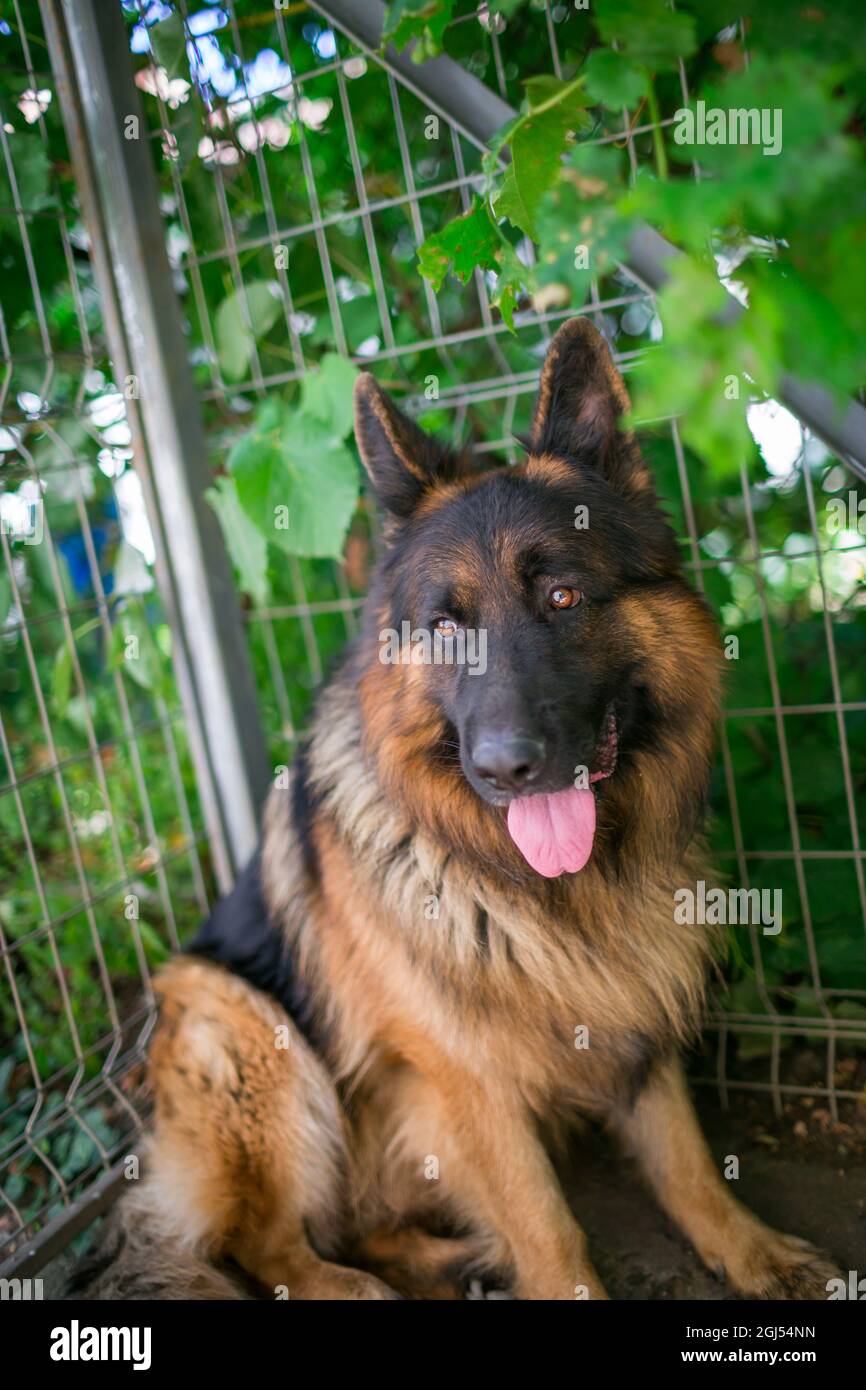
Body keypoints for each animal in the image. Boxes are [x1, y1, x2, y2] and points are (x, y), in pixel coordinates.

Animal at [81, 319, 839, 1295]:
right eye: (445, 627)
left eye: (563, 595)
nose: (508, 767)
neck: (549, 887)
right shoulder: (461, 1079)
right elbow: (548, 1228)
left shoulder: (633, 998)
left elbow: (687, 1161)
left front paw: (750, 1251)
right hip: (246, 1027)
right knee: (256, 1238)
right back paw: (354, 1285)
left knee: (358, 1227)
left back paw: (444, 1257)